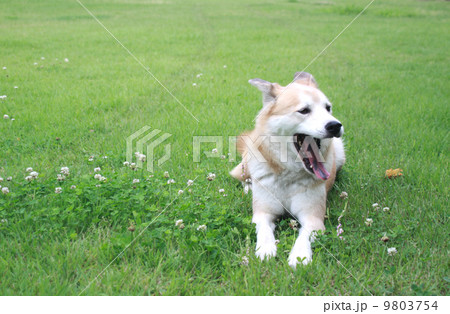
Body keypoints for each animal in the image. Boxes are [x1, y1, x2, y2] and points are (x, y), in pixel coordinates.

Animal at [230, 72, 346, 268]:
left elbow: (304, 235)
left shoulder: (313, 217)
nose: (335, 125)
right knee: (243, 178)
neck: (287, 176)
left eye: (328, 108)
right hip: (245, 167)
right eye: (304, 110)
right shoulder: (263, 213)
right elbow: (264, 230)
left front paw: (300, 255)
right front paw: (266, 249)